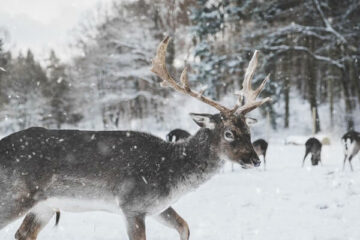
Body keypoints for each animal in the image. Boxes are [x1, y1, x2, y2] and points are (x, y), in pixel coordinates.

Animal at [0, 35, 270, 240]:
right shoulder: (132, 204)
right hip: (15, 195)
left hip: (43, 206)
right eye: (228, 133)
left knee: (23, 234)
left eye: (249, 131)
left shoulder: (157, 206)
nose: (255, 160)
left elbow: (185, 226)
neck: (171, 172)